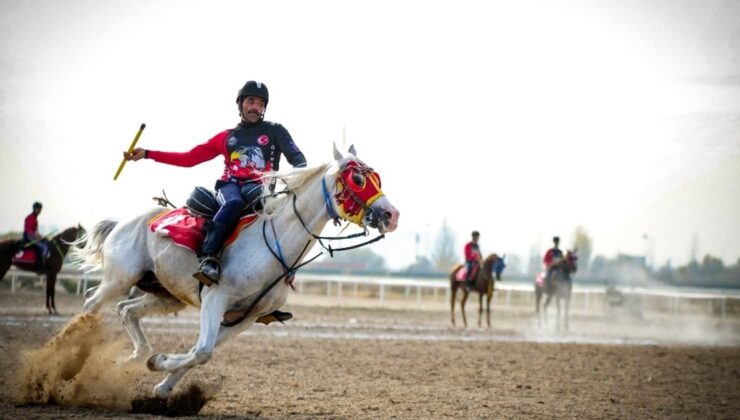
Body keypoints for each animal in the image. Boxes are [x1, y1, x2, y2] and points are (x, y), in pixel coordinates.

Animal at [72, 145, 398, 398]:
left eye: (376, 177)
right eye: (357, 178)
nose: (391, 215)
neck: (271, 246)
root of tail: (122, 222)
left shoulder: (246, 317)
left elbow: (200, 352)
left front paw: (162, 383)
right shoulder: (216, 299)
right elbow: (202, 351)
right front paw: (159, 363)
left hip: (165, 295)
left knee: (126, 310)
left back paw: (136, 355)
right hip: (120, 278)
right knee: (91, 303)